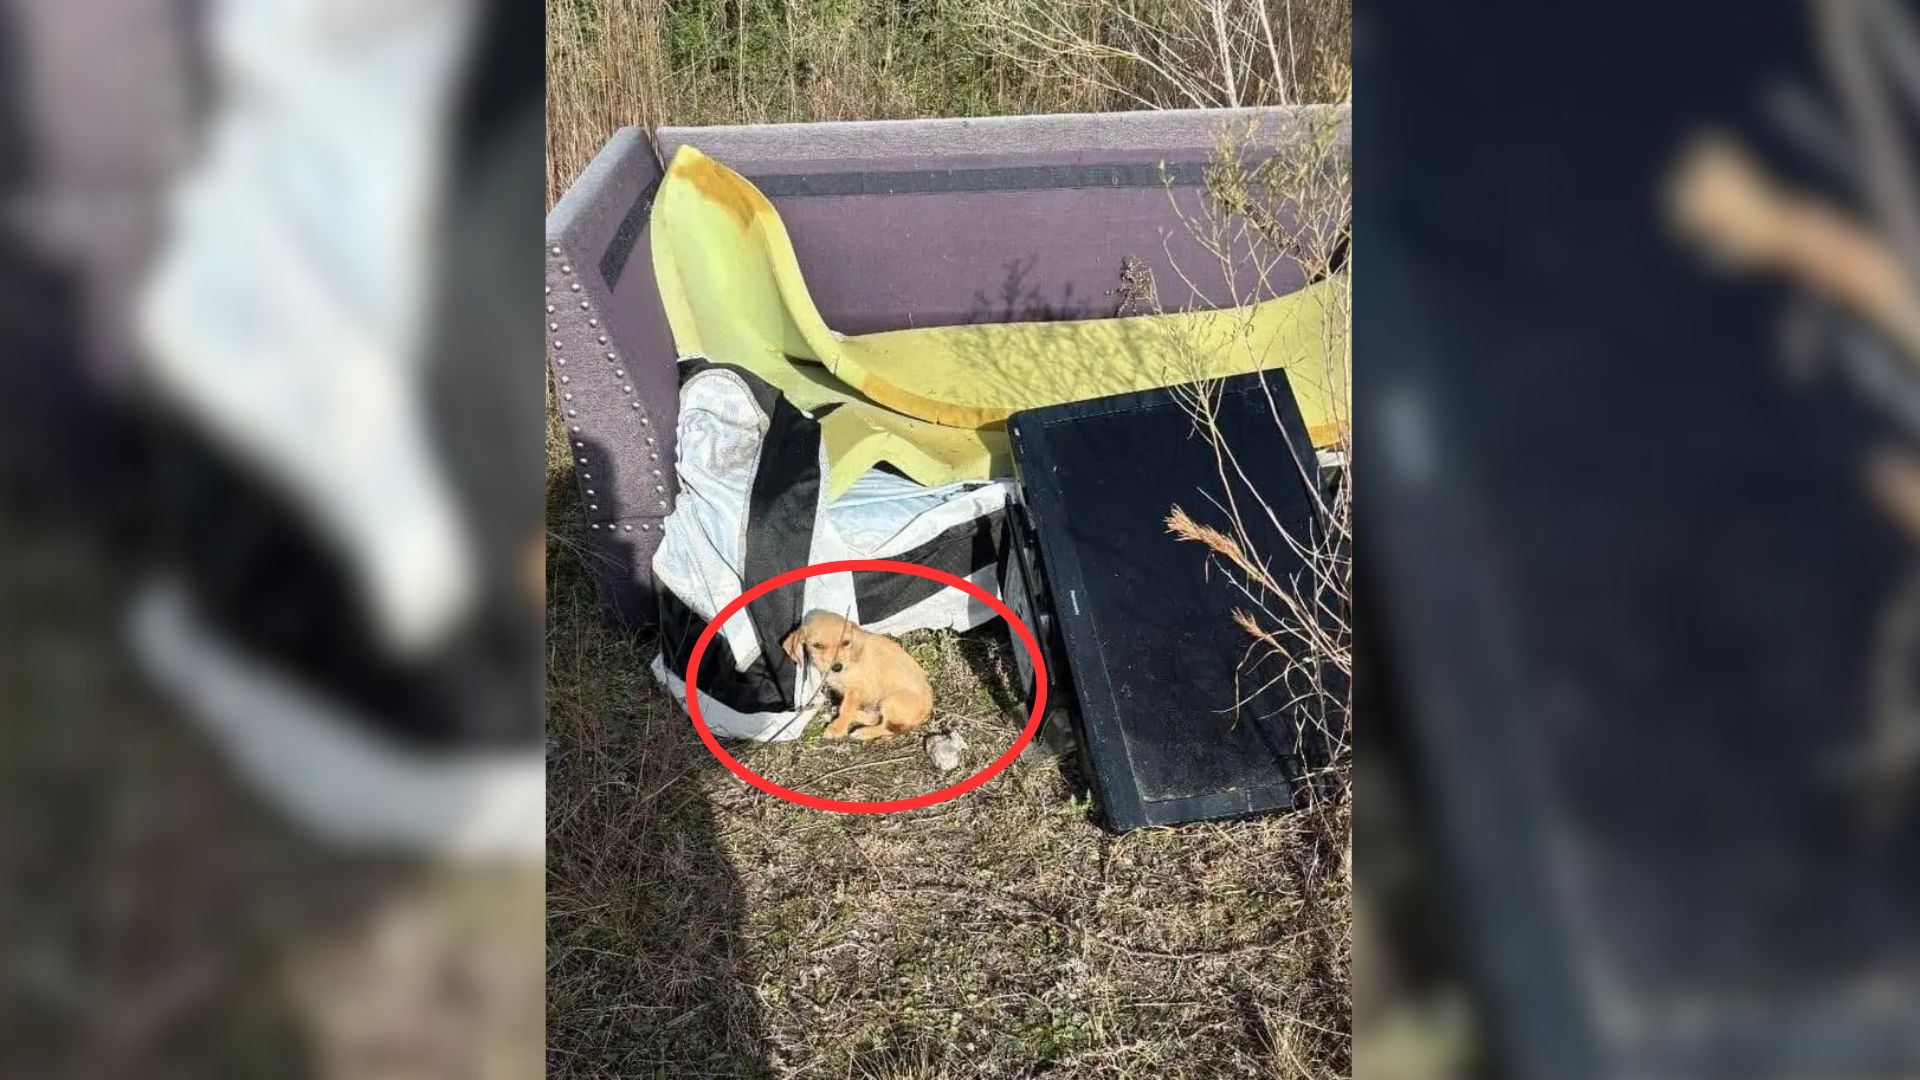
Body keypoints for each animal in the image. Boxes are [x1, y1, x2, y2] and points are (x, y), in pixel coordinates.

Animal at [779, 611, 929, 734]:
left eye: (846, 642)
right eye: (818, 645)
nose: (837, 667)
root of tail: (927, 709)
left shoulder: (856, 689)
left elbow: (846, 709)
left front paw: (837, 729)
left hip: (890, 700)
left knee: (886, 727)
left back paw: (863, 733)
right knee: (875, 719)